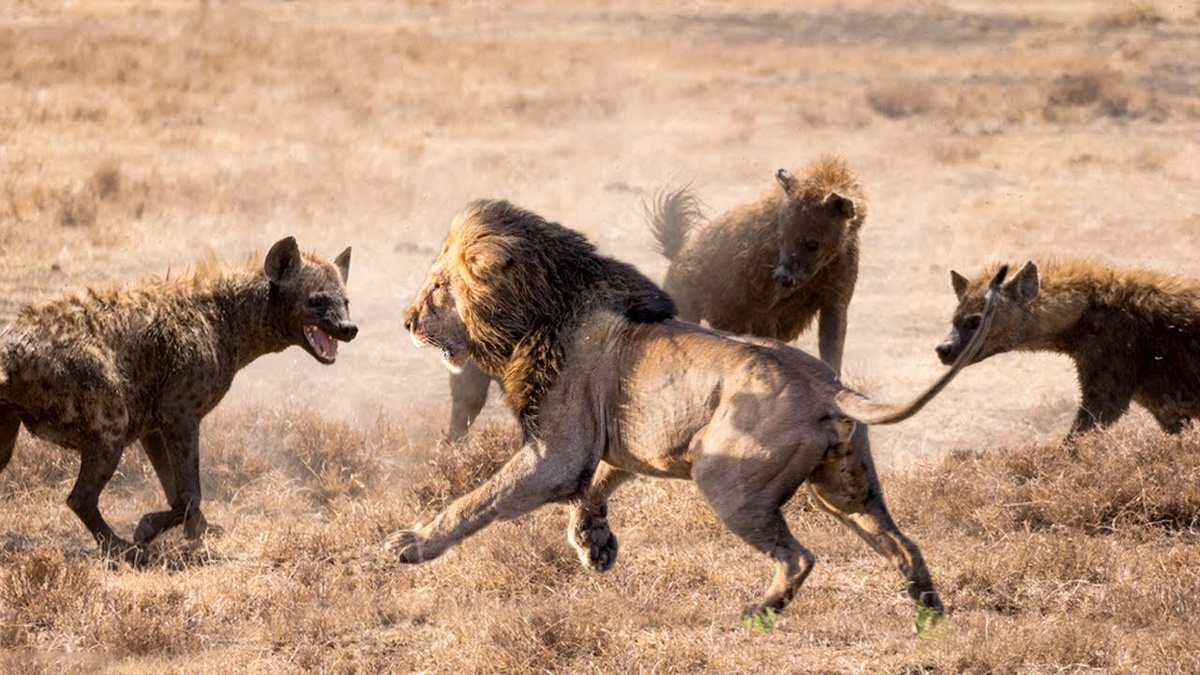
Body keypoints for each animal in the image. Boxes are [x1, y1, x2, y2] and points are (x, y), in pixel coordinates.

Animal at [387, 198, 1005, 627]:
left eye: (438, 287)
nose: (406, 321)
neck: (538, 308)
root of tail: (829, 386)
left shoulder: (556, 453)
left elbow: (478, 499)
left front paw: (412, 544)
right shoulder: (622, 442)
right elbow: (597, 486)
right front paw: (595, 545)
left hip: (726, 479)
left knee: (799, 558)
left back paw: (759, 613)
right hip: (844, 489)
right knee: (904, 544)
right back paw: (927, 610)